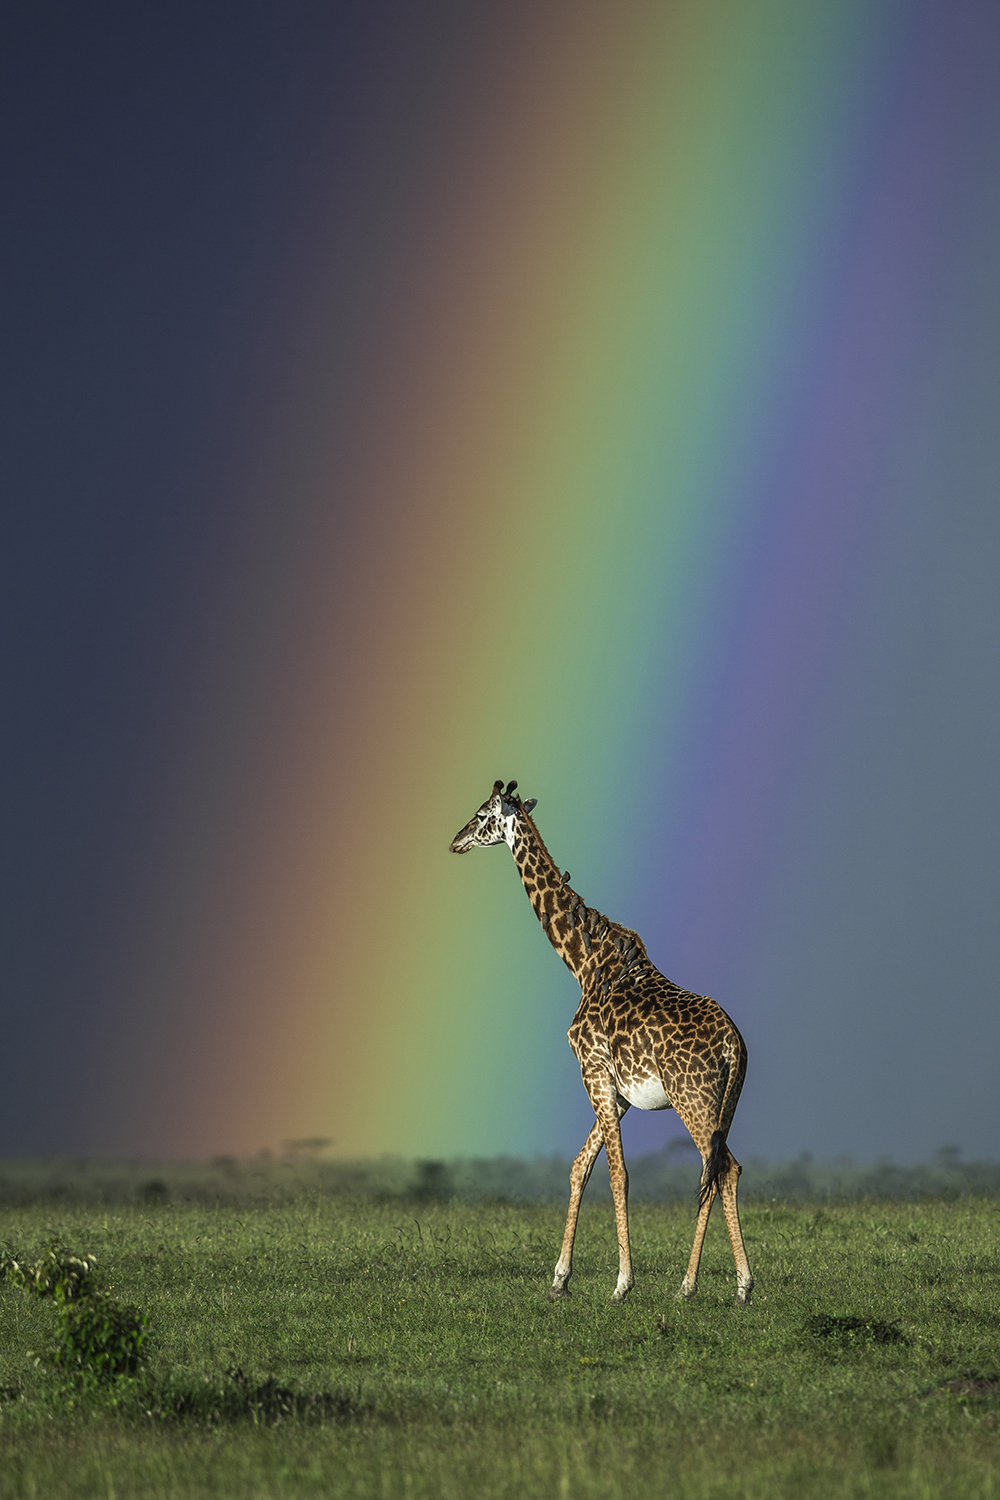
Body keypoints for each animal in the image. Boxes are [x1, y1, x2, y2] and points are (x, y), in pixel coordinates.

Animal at [449, 780, 755, 1308]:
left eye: (484, 814)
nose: (456, 840)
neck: (584, 962)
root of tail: (735, 1044)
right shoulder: (621, 1091)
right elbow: (579, 1168)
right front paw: (559, 1279)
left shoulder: (593, 1070)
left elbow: (617, 1175)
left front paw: (622, 1283)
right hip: (723, 1103)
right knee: (717, 1170)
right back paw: (693, 1285)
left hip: (692, 1098)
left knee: (721, 1169)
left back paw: (736, 1284)